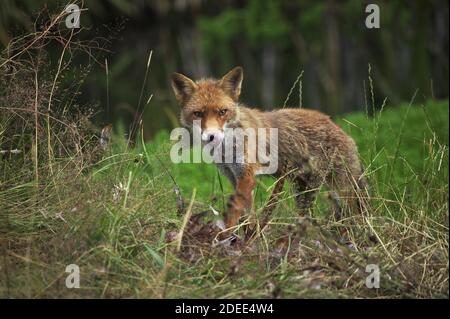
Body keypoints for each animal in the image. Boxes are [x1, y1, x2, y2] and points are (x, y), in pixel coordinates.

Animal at [171, 66, 368, 236]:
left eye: (222, 112)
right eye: (198, 114)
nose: (211, 136)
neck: (227, 149)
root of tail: (342, 130)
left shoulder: (246, 175)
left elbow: (234, 212)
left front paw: (224, 237)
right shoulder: (233, 176)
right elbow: (246, 215)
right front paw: (244, 237)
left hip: (339, 190)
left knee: (353, 215)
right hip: (303, 192)